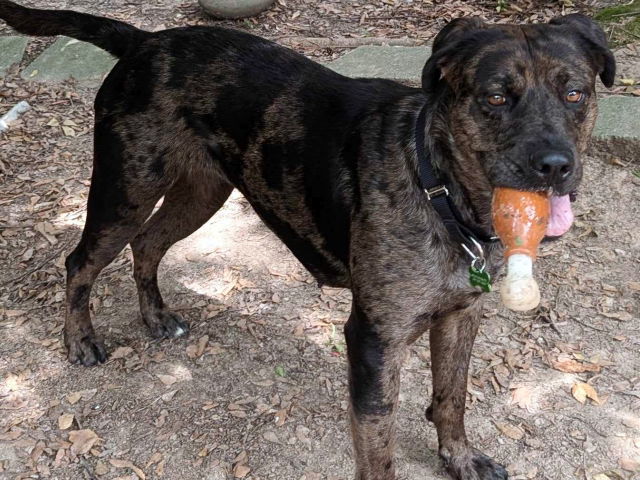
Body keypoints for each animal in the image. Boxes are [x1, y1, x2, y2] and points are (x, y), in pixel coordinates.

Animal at [0, 1, 616, 478]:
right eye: (495, 98)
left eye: (576, 94)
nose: (555, 166)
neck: (438, 187)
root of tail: (145, 40)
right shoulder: (375, 340)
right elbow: (378, 451)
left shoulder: (461, 315)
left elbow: (452, 398)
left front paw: (460, 459)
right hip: (125, 190)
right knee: (80, 260)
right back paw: (80, 340)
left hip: (201, 192)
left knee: (148, 245)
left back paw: (155, 316)